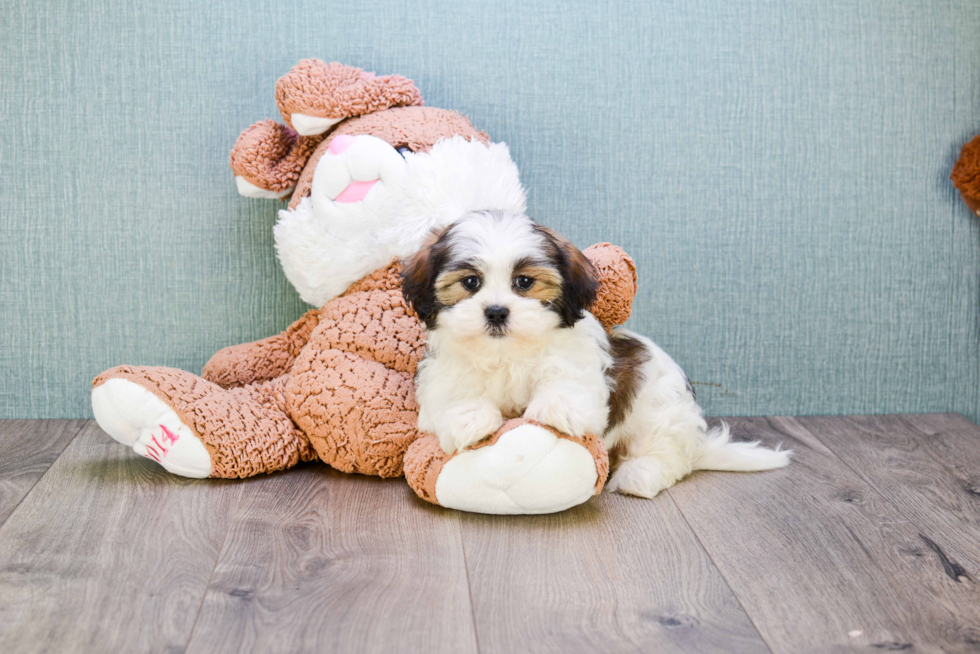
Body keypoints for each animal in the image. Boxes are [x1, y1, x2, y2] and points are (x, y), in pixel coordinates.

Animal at [398, 213, 788, 500]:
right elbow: (450, 400)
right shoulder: (442, 376)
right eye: (470, 283)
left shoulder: (578, 365)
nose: (496, 312)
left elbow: (570, 387)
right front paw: (470, 418)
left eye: (524, 282)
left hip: (662, 410)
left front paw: (558, 409)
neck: (508, 355)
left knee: (668, 454)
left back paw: (639, 474)